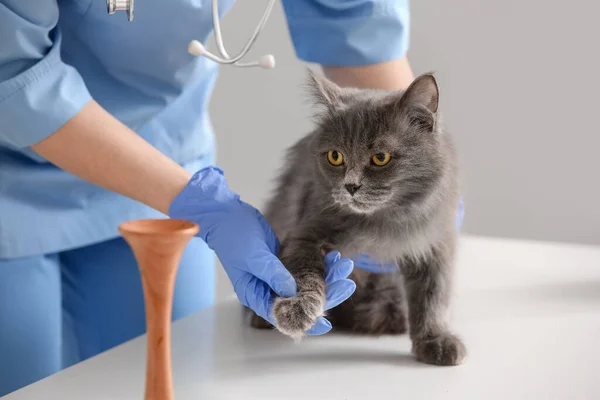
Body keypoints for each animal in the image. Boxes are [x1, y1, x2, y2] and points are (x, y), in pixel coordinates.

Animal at [246, 69, 466, 366]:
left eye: (380, 158)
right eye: (335, 156)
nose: (351, 186)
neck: (382, 221)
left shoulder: (435, 245)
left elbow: (433, 298)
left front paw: (435, 339)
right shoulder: (306, 234)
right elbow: (303, 275)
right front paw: (296, 311)